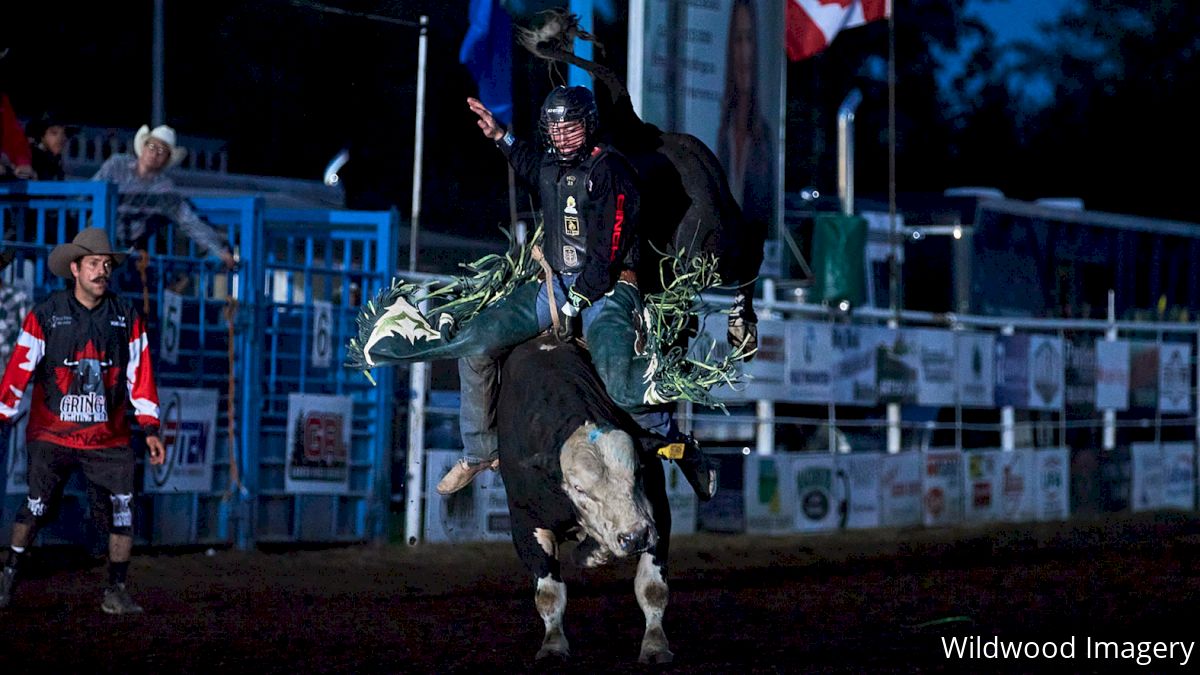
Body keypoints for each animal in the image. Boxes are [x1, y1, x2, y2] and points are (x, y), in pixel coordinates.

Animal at [492, 333, 672, 658]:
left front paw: (655, 646)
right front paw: (553, 646)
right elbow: (549, 594)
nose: (635, 537)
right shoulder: (524, 522)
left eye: (638, 470)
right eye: (578, 488)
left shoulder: (657, 513)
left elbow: (652, 589)